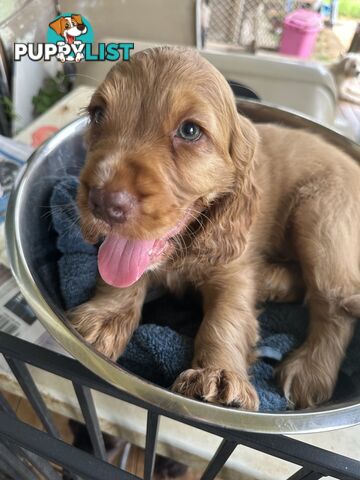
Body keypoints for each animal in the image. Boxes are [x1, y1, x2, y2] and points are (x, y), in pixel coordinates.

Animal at [69, 47, 360, 410]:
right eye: (97, 114)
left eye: (190, 131)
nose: (103, 201)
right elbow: (122, 277)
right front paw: (104, 318)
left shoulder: (233, 270)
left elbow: (225, 319)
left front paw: (219, 375)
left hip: (320, 216)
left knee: (334, 303)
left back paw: (310, 369)